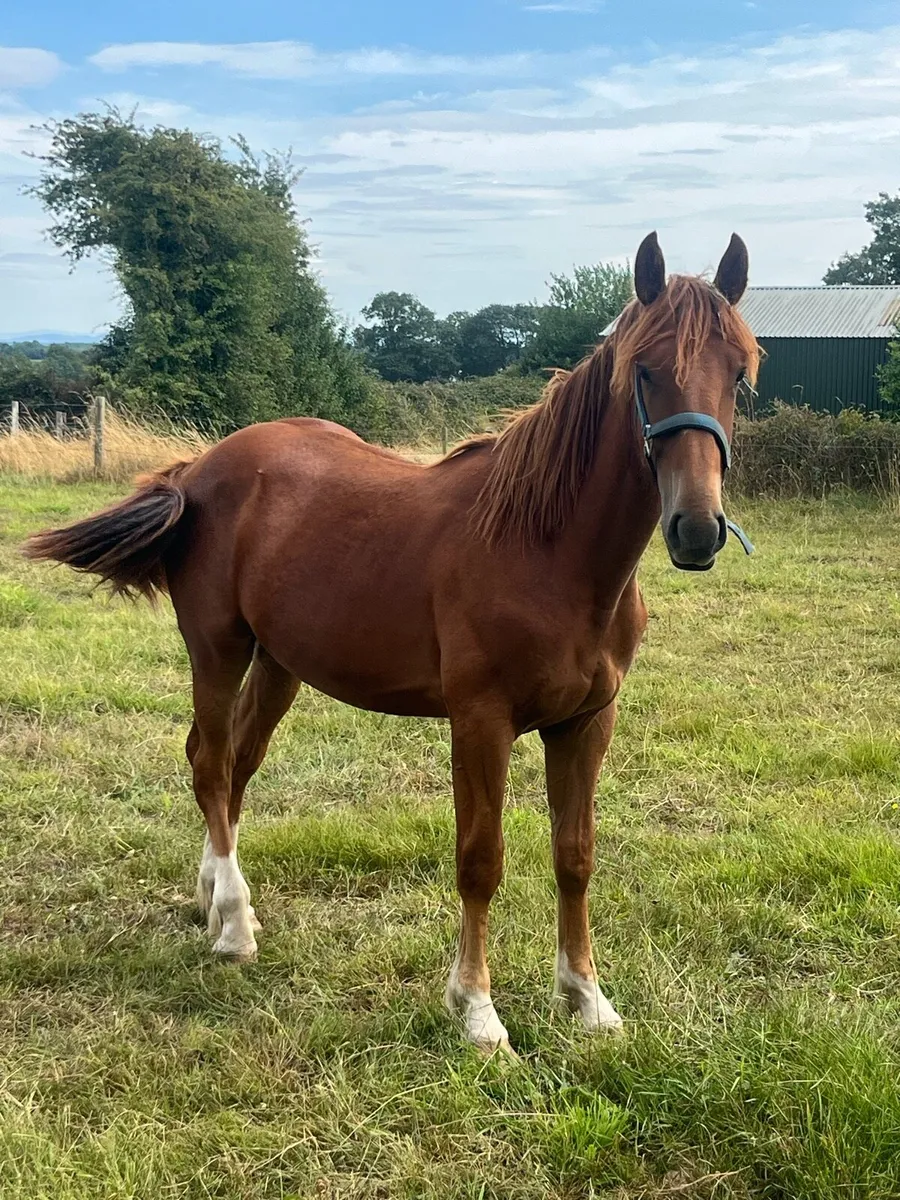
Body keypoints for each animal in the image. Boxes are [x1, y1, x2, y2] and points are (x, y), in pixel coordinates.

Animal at [24, 233, 759, 1055]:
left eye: (739, 372)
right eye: (645, 369)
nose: (696, 529)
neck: (547, 550)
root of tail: (199, 467)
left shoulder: (587, 723)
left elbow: (575, 856)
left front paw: (587, 999)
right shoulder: (481, 723)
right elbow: (480, 860)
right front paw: (477, 1012)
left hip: (279, 664)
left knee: (235, 766)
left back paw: (214, 898)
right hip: (216, 648)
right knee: (210, 765)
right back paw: (235, 928)